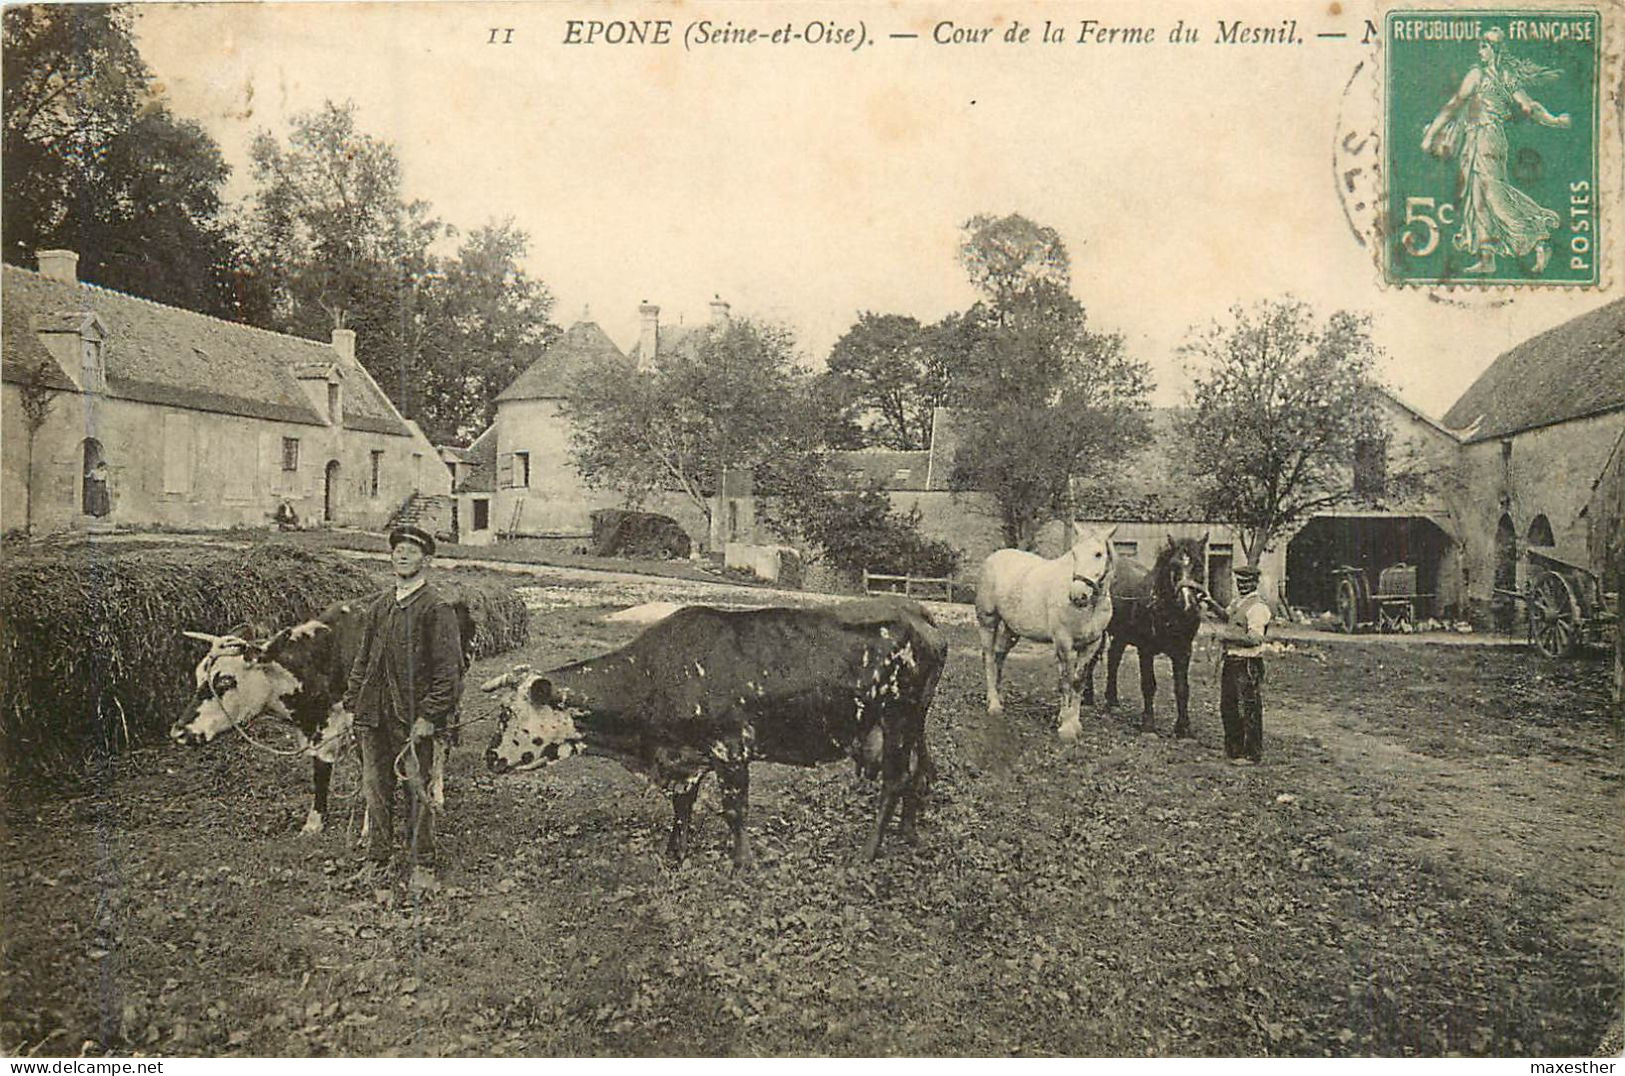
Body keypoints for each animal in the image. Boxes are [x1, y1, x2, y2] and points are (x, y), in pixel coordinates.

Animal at [173, 598, 474, 832]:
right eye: (198, 675)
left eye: (225, 680)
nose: (179, 732)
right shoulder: (322, 732)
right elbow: (322, 773)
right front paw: (314, 823)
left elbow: (370, 776)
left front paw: (366, 829)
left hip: (449, 704)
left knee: (441, 748)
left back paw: (436, 796)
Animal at [481, 598, 949, 871]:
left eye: (507, 713)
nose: (490, 757)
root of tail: (913, 611)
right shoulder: (685, 758)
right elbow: (682, 807)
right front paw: (675, 853)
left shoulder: (732, 750)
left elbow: (734, 811)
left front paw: (741, 864)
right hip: (913, 723)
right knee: (919, 773)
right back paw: (908, 833)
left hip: (898, 717)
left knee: (895, 781)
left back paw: (868, 851)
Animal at [975, 526, 1118, 747]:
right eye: (1074, 553)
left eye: (1098, 554)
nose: (1078, 596)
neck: (1090, 608)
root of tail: (993, 558)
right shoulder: (1064, 643)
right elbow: (1066, 682)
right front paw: (1066, 729)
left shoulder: (1091, 645)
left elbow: (1078, 682)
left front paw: (1074, 724)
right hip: (988, 622)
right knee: (989, 658)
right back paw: (994, 705)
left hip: (1011, 630)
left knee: (999, 656)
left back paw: (998, 697)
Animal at [1092, 536, 1209, 737]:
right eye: (1173, 565)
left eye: (1199, 565)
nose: (1187, 606)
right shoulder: (1145, 650)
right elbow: (1148, 684)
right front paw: (1148, 724)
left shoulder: (1184, 651)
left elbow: (1182, 688)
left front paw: (1183, 728)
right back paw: (1088, 698)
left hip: (1121, 636)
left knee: (1113, 658)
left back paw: (1112, 702)